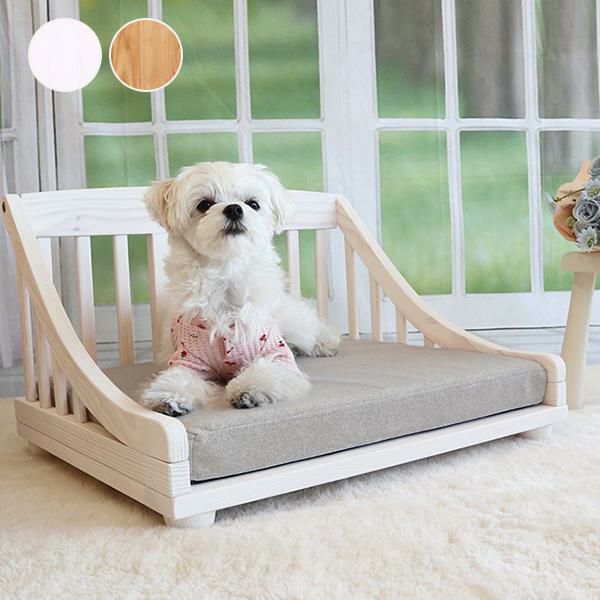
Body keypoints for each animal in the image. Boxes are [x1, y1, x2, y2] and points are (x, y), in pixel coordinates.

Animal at [139, 162, 340, 416]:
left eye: (253, 204)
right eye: (204, 204)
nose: (234, 209)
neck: (226, 273)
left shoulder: (274, 351)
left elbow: (269, 370)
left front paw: (250, 390)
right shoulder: (188, 356)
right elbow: (179, 377)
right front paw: (170, 396)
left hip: (291, 322)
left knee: (308, 327)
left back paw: (326, 342)